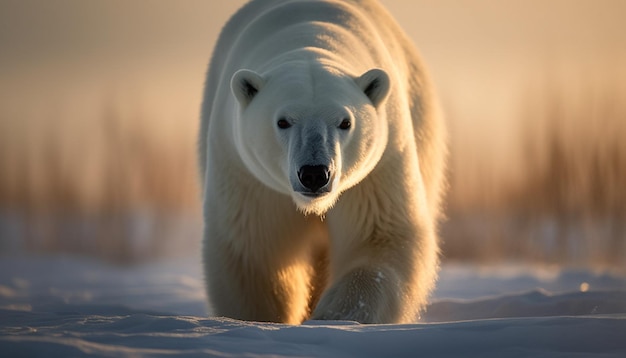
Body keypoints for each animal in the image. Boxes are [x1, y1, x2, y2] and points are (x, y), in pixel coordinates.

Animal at [197, 0, 446, 324]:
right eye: (283, 121)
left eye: (345, 122)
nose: (315, 173)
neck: (309, 36)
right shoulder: (247, 174)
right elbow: (256, 250)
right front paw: (261, 321)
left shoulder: (379, 166)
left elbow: (380, 236)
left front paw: (334, 317)